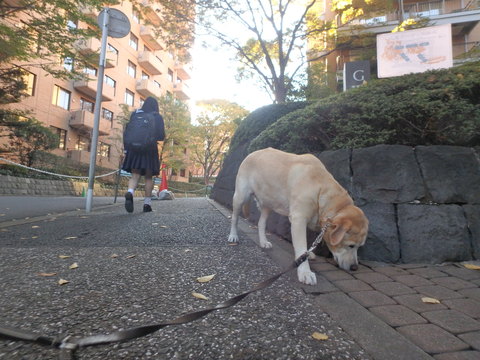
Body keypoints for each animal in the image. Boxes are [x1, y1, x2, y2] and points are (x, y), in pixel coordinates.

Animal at [227, 148, 370, 286]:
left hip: (269, 202)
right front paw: (305, 272)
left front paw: (307, 254)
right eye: (351, 246)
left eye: (360, 246)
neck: (320, 188)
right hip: (241, 196)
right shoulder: (298, 219)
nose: (355, 268)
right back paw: (233, 236)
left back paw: (263, 242)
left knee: (261, 223)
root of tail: (251, 153)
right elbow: (301, 245)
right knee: (234, 217)